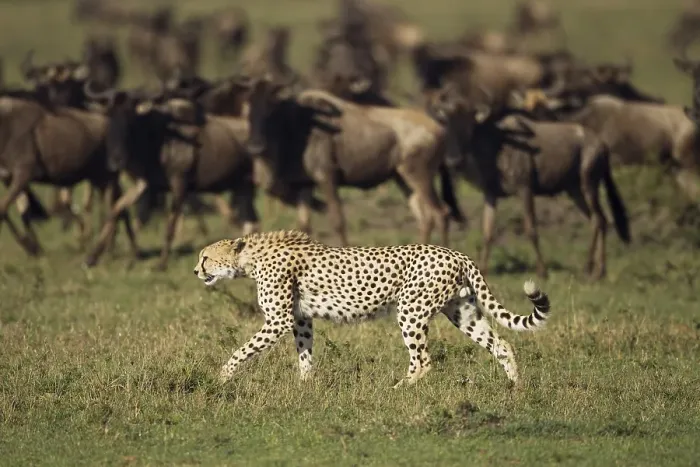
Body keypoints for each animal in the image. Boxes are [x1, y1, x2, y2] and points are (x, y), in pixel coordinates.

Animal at [193, 229, 551, 387]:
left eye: (205, 257)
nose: (196, 271)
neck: (250, 258)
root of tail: (454, 252)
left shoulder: (279, 320)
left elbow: (241, 351)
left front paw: (221, 376)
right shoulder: (301, 319)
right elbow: (304, 351)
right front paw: (306, 385)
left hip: (410, 310)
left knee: (424, 360)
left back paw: (399, 389)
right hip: (461, 311)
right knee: (502, 344)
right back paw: (515, 388)